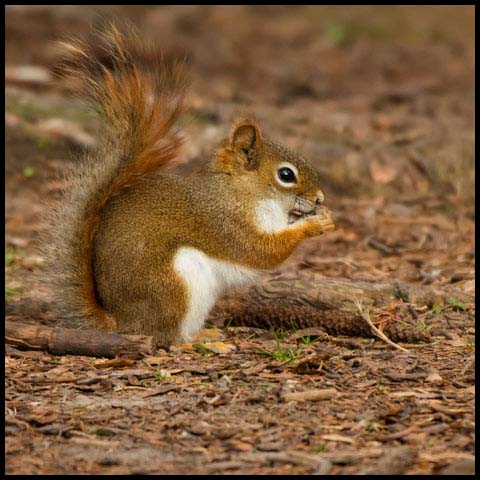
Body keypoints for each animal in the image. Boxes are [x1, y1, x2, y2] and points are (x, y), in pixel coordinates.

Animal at [44, 24, 334, 346]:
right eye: (286, 175)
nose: (320, 198)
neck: (244, 192)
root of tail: (121, 321)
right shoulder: (224, 222)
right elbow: (261, 250)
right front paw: (313, 226)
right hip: (175, 286)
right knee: (167, 337)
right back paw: (200, 340)